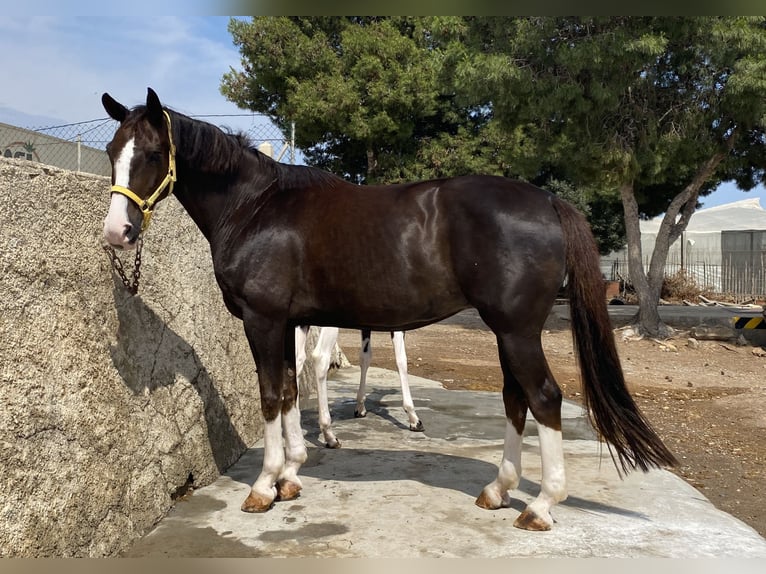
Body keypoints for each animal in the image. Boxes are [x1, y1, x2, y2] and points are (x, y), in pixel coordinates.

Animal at [101, 88, 676, 531]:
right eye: (111, 150)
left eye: (153, 152)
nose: (117, 232)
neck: (256, 207)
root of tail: (548, 201)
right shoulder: (286, 323)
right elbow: (287, 392)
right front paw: (291, 477)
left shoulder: (263, 320)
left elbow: (268, 396)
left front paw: (264, 485)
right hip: (507, 331)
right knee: (516, 398)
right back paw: (498, 490)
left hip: (516, 330)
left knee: (544, 397)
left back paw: (539, 506)